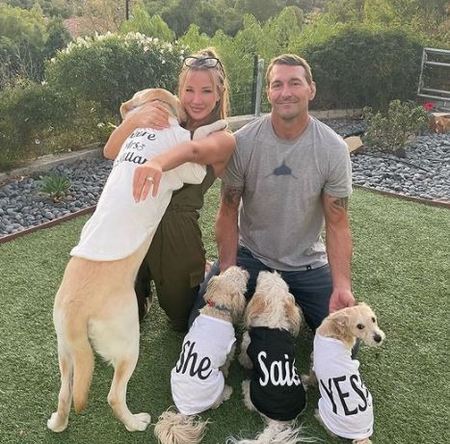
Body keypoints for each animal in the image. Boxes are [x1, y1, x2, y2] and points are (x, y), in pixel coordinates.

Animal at [47, 88, 226, 433]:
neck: (151, 118)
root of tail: (75, 310)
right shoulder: (191, 168)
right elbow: (197, 137)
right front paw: (221, 125)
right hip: (129, 343)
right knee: (114, 396)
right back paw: (136, 422)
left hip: (66, 350)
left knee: (64, 394)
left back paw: (57, 423)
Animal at [154, 266, 249, 444]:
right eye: (241, 278)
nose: (243, 268)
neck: (216, 309)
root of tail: (185, 410)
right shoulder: (230, 349)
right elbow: (227, 363)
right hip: (217, 384)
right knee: (217, 402)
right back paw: (227, 391)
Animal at [229, 271, 311, 444]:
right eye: (279, 278)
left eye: (261, 281)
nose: (265, 270)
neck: (274, 318)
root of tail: (277, 422)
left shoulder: (247, 343)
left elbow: (245, 357)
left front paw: (242, 363)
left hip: (253, 394)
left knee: (249, 400)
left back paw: (245, 386)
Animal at [310, 303, 385, 444]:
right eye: (359, 326)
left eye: (373, 319)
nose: (378, 338)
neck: (337, 332)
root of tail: (362, 435)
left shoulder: (314, 364)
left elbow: (310, 377)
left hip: (323, 408)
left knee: (330, 432)